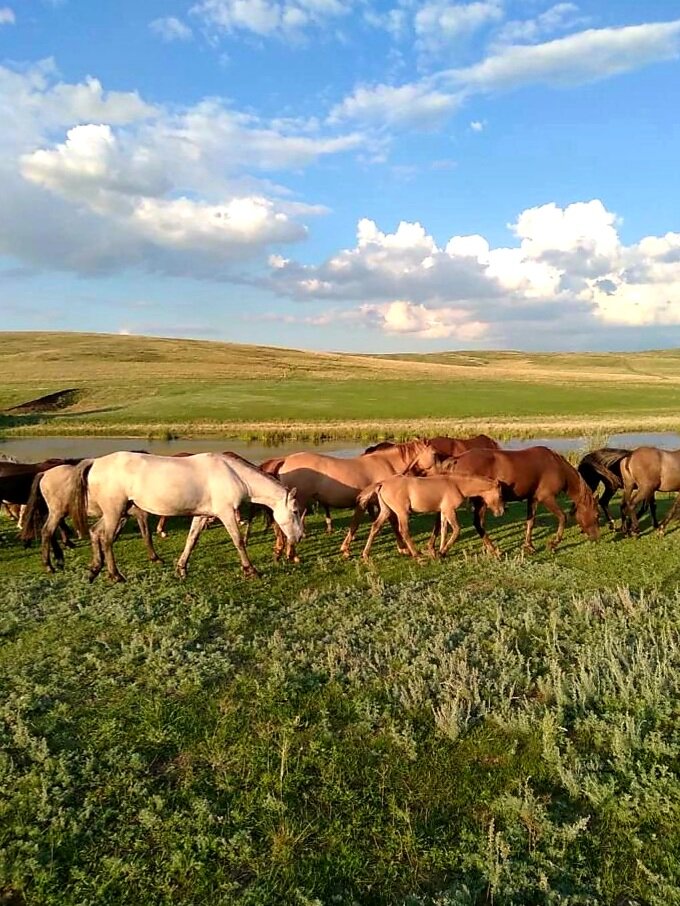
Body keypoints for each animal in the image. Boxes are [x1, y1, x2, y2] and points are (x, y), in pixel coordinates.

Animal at [21, 466, 161, 572]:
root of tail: (44, 473)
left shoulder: (122, 516)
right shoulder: (138, 514)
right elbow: (146, 535)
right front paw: (155, 558)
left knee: (50, 533)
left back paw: (58, 560)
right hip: (57, 512)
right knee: (47, 532)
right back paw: (49, 566)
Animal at [70, 450, 302, 584]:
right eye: (295, 511)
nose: (300, 537)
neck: (234, 474)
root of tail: (94, 462)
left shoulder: (202, 515)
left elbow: (191, 540)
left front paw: (181, 569)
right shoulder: (226, 513)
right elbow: (238, 542)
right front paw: (251, 570)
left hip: (117, 511)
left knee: (95, 532)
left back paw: (94, 570)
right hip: (115, 510)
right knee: (107, 539)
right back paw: (115, 575)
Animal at [276, 438, 440, 556]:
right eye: (434, 454)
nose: (438, 475)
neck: (386, 463)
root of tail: (285, 462)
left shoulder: (365, 503)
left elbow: (355, 524)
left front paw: (345, 548)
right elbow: (392, 524)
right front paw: (403, 548)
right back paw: (290, 553)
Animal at [356, 474, 504, 556]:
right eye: (500, 495)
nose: (501, 512)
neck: (456, 485)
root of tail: (382, 483)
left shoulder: (444, 512)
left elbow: (444, 531)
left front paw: (440, 551)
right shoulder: (450, 510)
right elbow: (456, 530)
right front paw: (442, 552)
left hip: (386, 511)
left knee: (375, 527)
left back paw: (365, 554)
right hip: (402, 513)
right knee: (403, 530)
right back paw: (416, 554)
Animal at [432, 444, 596, 552]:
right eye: (596, 515)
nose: (596, 537)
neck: (556, 465)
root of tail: (457, 459)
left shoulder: (533, 499)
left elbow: (530, 521)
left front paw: (529, 545)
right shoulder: (547, 498)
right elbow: (562, 517)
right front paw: (554, 544)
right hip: (480, 502)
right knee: (478, 524)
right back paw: (493, 550)